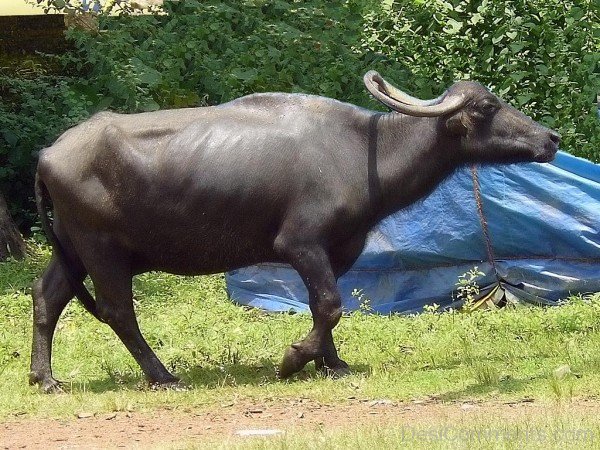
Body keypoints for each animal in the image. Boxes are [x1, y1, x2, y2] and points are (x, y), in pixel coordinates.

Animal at [30, 70, 560, 390]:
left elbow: (322, 304)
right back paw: (163, 374)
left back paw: (45, 378)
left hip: (72, 250)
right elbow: (329, 304)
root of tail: (49, 153)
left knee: (46, 296)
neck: (364, 152)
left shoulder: (337, 250)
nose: (551, 138)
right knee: (118, 311)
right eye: (487, 107)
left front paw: (332, 363)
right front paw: (293, 359)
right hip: (103, 251)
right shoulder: (300, 243)